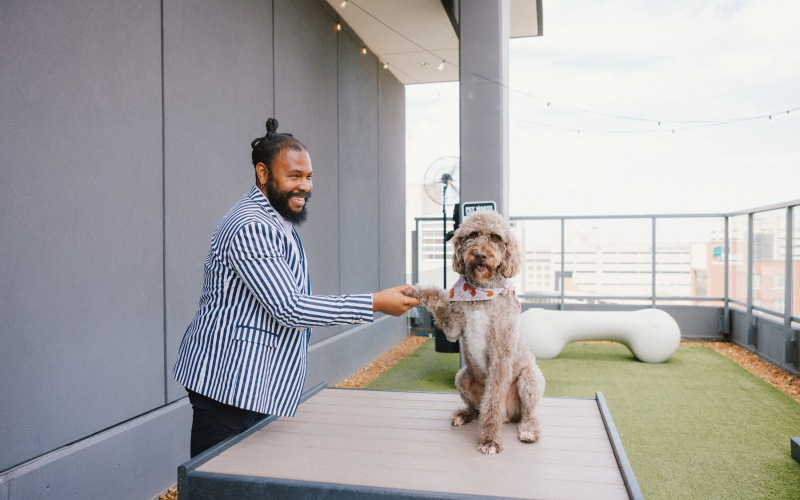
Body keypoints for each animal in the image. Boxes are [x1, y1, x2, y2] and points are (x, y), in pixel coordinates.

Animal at [406, 213, 544, 456]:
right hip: (461, 377)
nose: (480, 255)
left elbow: (493, 403)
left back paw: (528, 430)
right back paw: (464, 414)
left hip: (530, 379)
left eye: (496, 237)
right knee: (477, 408)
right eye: (472, 235)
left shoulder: (500, 355)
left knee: (527, 413)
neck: (481, 293)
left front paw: (489, 441)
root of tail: (509, 417)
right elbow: (437, 297)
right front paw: (415, 291)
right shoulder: (453, 327)